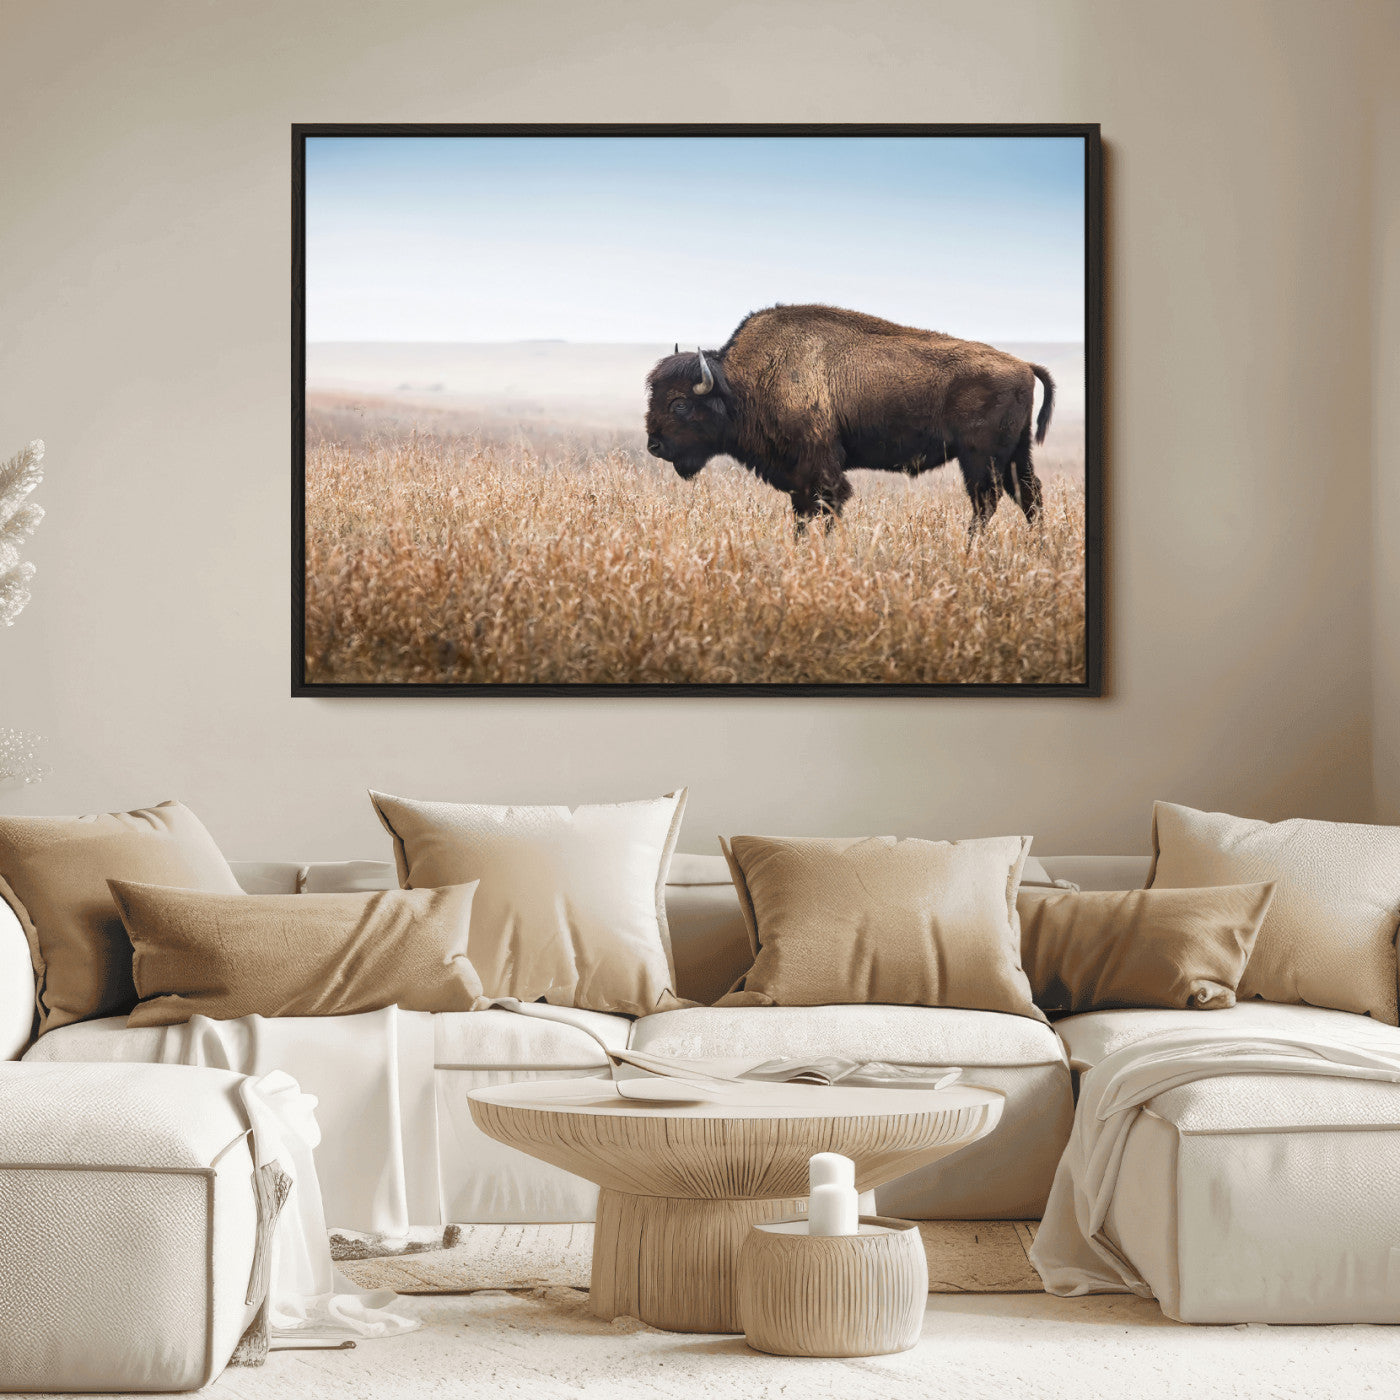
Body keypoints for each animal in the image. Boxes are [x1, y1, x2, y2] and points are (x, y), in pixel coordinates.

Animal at [645, 304, 1055, 531]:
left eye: (679, 403)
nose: (654, 446)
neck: (741, 383)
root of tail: (1023, 365)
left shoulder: (820, 469)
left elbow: (826, 508)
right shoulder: (798, 478)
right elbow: (803, 514)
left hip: (980, 458)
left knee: (986, 501)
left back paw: (971, 549)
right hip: (1015, 454)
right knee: (1029, 496)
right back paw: (1037, 549)